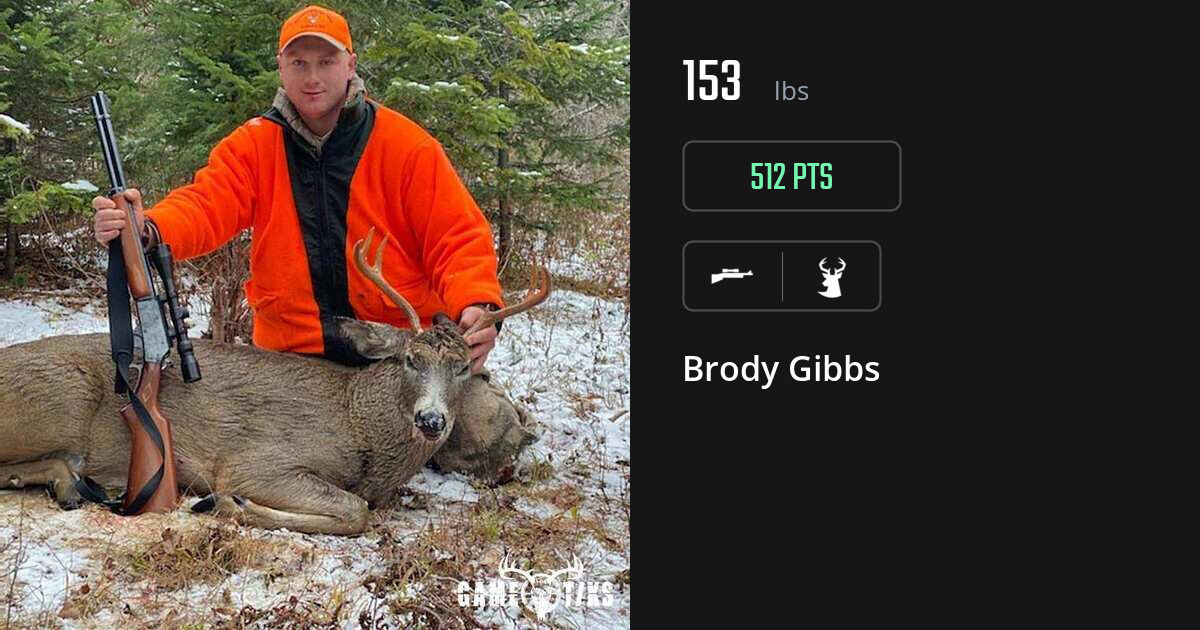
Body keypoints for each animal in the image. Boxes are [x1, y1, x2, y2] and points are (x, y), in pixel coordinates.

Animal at [0, 228, 549, 535]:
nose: (432, 420)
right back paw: (67, 481)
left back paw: (71, 484)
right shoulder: (257, 460)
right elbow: (354, 511)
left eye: (464, 368)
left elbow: (355, 509)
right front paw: (226, 503)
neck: (358, 422)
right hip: (61, 400)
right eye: (411, 359)